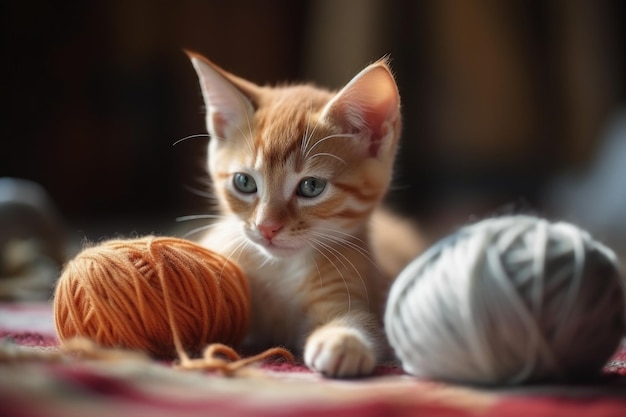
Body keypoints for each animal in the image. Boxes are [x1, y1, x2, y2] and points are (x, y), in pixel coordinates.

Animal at [184, 50, 414, 376]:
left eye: (311, 187)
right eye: (244, 182)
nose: (266, 227)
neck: (280, 269)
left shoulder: (350, 287)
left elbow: (361, 322)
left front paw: (343, 340)